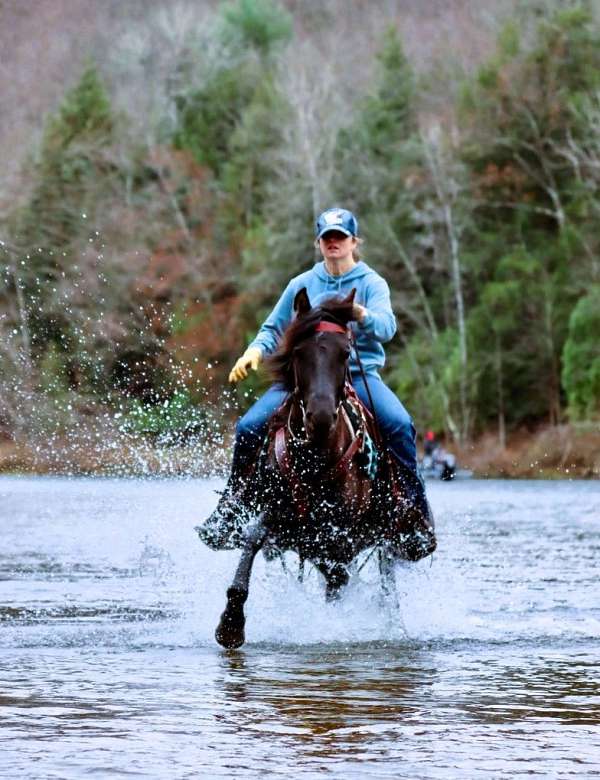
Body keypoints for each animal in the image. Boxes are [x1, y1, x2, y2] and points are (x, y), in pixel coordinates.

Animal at [209, 290, 434, 648]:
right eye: (299, 351)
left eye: (346, 353)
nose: (322, 416)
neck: (315, 458)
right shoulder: (278, 514)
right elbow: (253, 541)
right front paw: (231, 623)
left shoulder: (339, 537)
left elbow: (338, 582)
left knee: (382, 582)